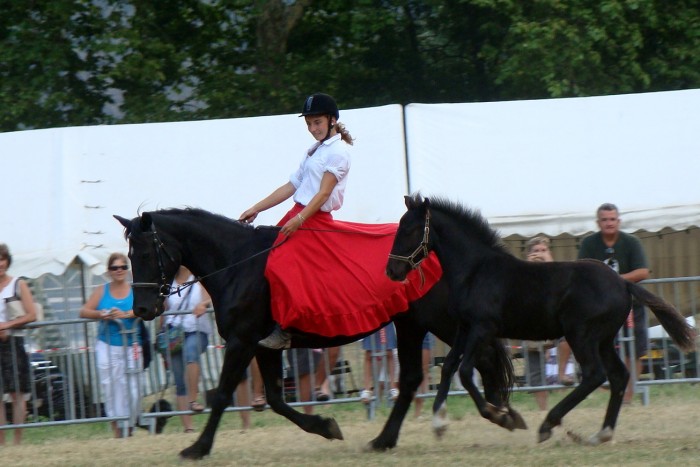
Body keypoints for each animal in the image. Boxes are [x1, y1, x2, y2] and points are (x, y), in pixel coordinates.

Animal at [115, 209, 524, 460]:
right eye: (129, 257)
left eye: (147, 254)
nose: (143, 310)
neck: (238, 264)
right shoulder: (265, 346)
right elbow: (275, 399)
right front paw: (326, 426)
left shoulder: (242, 342)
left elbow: (222, 395)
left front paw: (197, 448)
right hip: (410, 325)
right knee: (412, 378)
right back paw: (386, 439)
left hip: (441, 322)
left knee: (479, 358)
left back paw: (500, 412)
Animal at [386, 194, 696, 446]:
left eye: (409, 229)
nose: (392, 271)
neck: (476, 270)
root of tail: (623, 283)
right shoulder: (465, 328)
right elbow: (449, 366)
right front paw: (439, 423)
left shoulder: (483, 328)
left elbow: (463, 371)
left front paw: (500, 416)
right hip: (604, 339)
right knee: (618, 376)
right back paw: (600, 434)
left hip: (581, 335)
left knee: (595, 374)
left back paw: (550, 424)